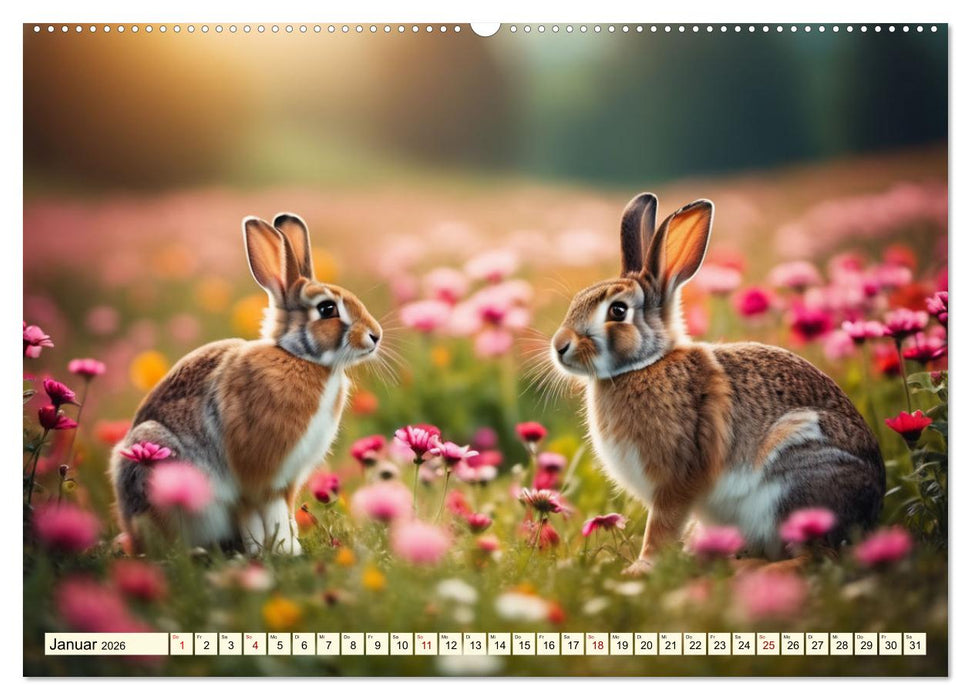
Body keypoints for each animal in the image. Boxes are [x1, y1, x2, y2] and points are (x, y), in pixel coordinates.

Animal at [109, 213, 382, 555]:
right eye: (327, 309)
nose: (375, 336)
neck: (300, 357)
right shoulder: (258, 475)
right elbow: (264, 512)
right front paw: (277, 552)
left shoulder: (287, 478)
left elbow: (284, 512)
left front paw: (287, 549)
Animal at [551, 193, 885, 576]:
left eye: (618, 311)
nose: (559, 346)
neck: (644, 365)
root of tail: (870, 511)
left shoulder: (676, 479)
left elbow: (661, 527)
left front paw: (641, 569)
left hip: (793, 488)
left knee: (819, 555)